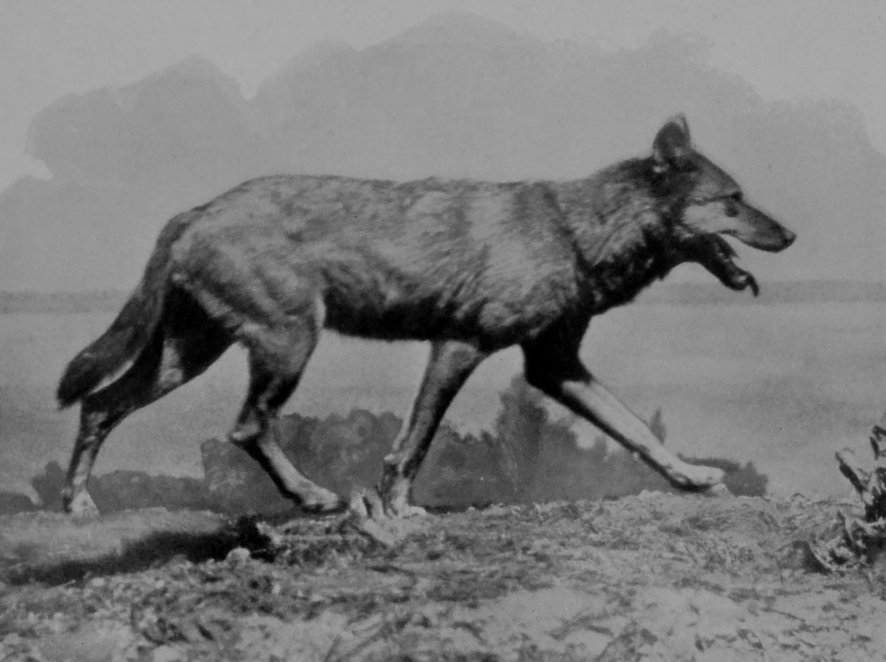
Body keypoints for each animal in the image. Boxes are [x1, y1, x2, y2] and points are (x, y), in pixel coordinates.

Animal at [56, 115, 794, 518]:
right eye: (733, 200)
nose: (790, 235)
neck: (573, 229)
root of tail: (198, 208)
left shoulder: (556, 366)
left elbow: (638, 431)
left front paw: (692, 477)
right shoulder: (459, 346)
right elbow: (413, 442)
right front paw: (398, 507)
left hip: (190, 355)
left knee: (99, 405)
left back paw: (78, 504)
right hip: (288, 344)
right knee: (245, 427)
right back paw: (312, 497)